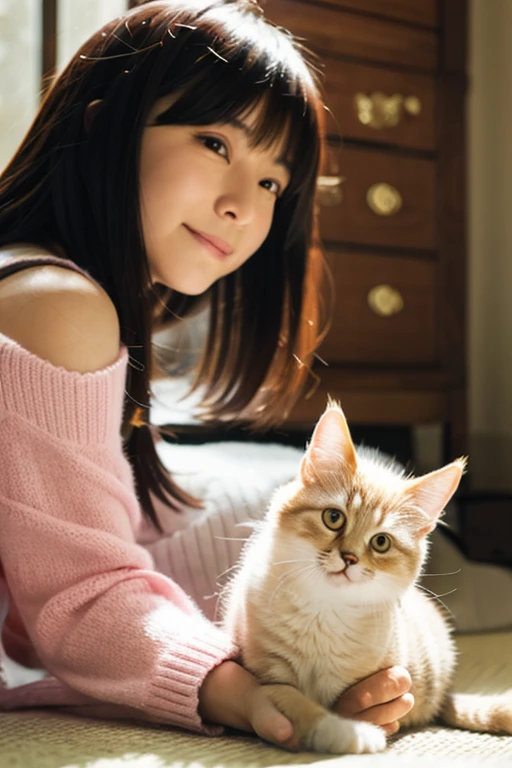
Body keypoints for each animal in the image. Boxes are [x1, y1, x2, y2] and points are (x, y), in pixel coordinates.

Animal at [222, 404, 512, 752]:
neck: (323, 612)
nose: (349, 558)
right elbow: (300, 704)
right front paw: (350, 732)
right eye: (333, 517)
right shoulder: (268, 679)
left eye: (381, 542)